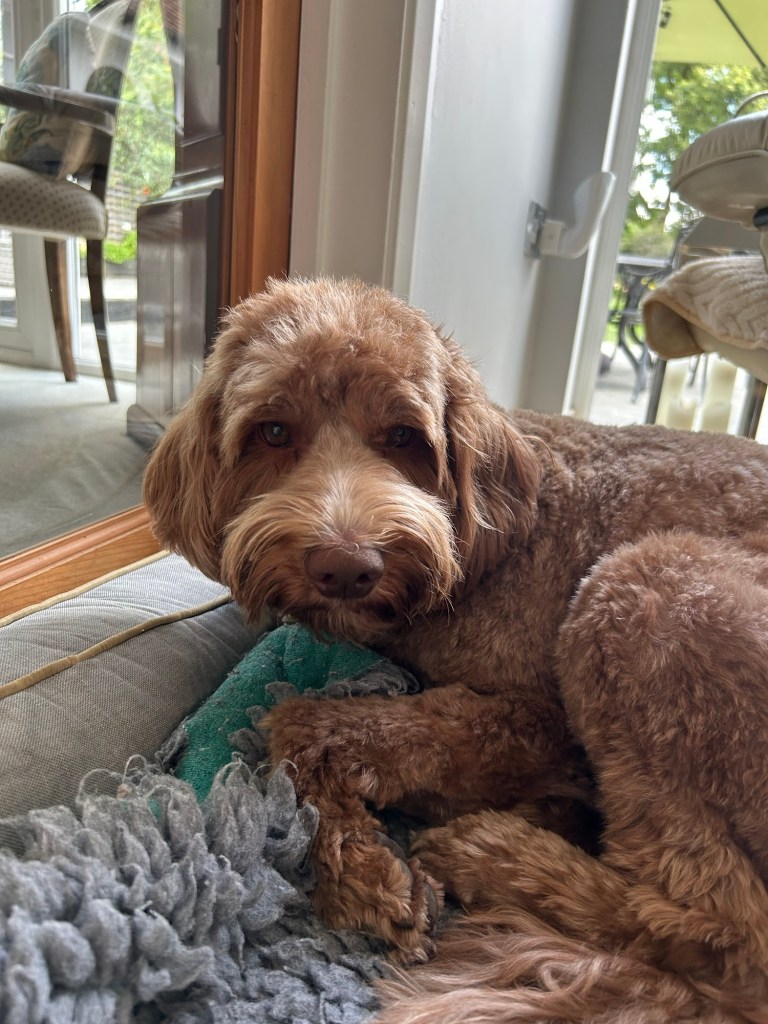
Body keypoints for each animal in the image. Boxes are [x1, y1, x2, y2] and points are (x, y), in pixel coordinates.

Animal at [144, 276, 768, 1023]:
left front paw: (363, 870)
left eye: (404, 436)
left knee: (718, 925)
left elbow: (308, 721)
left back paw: (494, 854)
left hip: (643, 587)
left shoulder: (537, 720)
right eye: (272, 431)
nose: (346, 567)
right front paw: (360, 866)